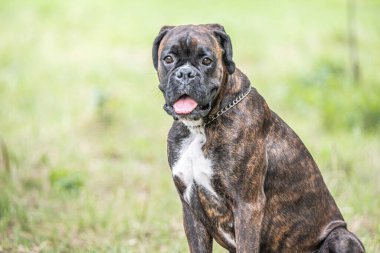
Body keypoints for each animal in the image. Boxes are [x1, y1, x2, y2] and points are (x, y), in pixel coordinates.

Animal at [152, 22, 366, 252]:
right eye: (168, 59)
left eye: (206, 60)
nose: (185, 73)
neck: (201, 127)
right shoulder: (190, 209)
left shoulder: (247, 206)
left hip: (341, 236)